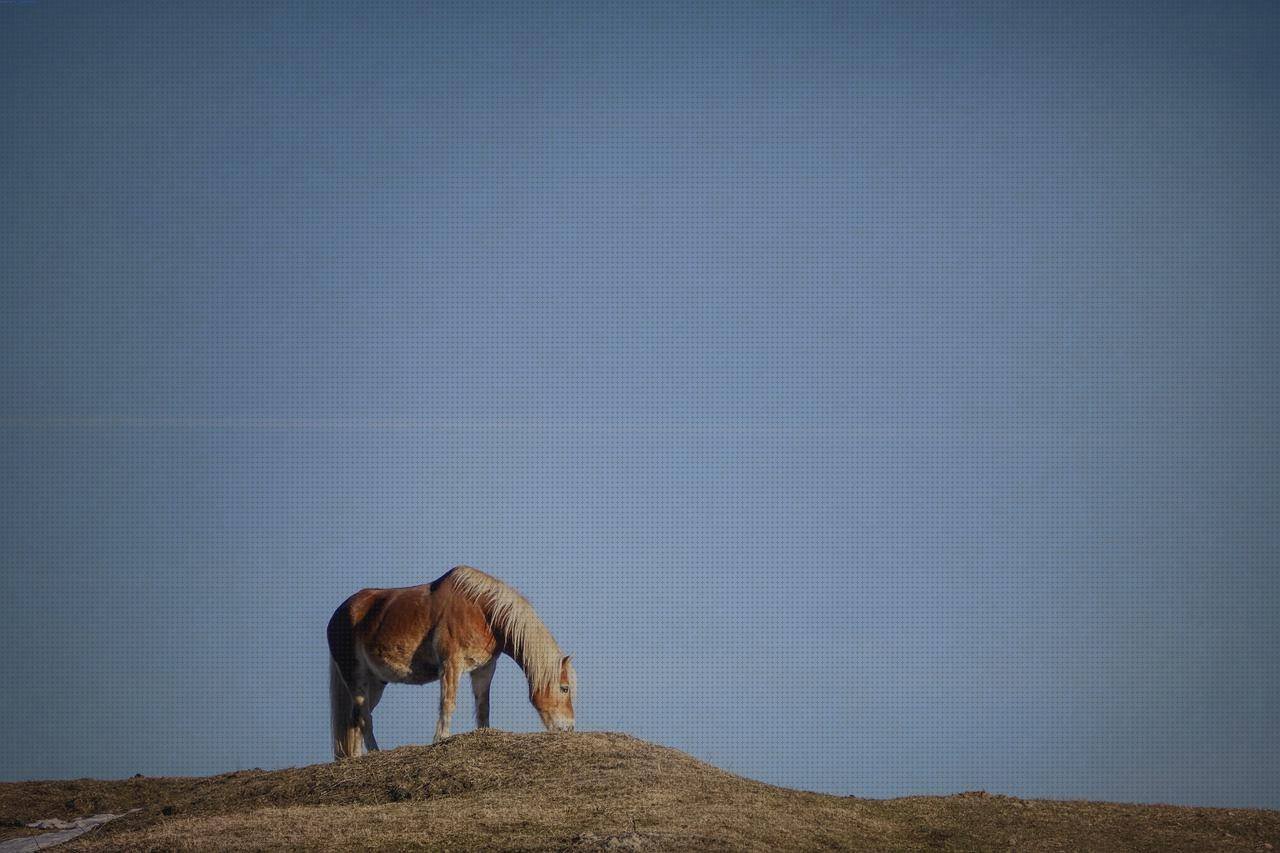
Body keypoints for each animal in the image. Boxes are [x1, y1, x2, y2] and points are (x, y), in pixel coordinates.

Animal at [325, 563, 581, 758]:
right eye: (564, 688)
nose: (569, 728)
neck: (481, 610)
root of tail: (339, 614)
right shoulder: (451, 664)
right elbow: (448, 703)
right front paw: (441, 739)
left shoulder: (484, 668)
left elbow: (483, 706)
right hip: (355, 676)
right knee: (363, 717)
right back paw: (375, 752)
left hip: (376, 682)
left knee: (356, 719)